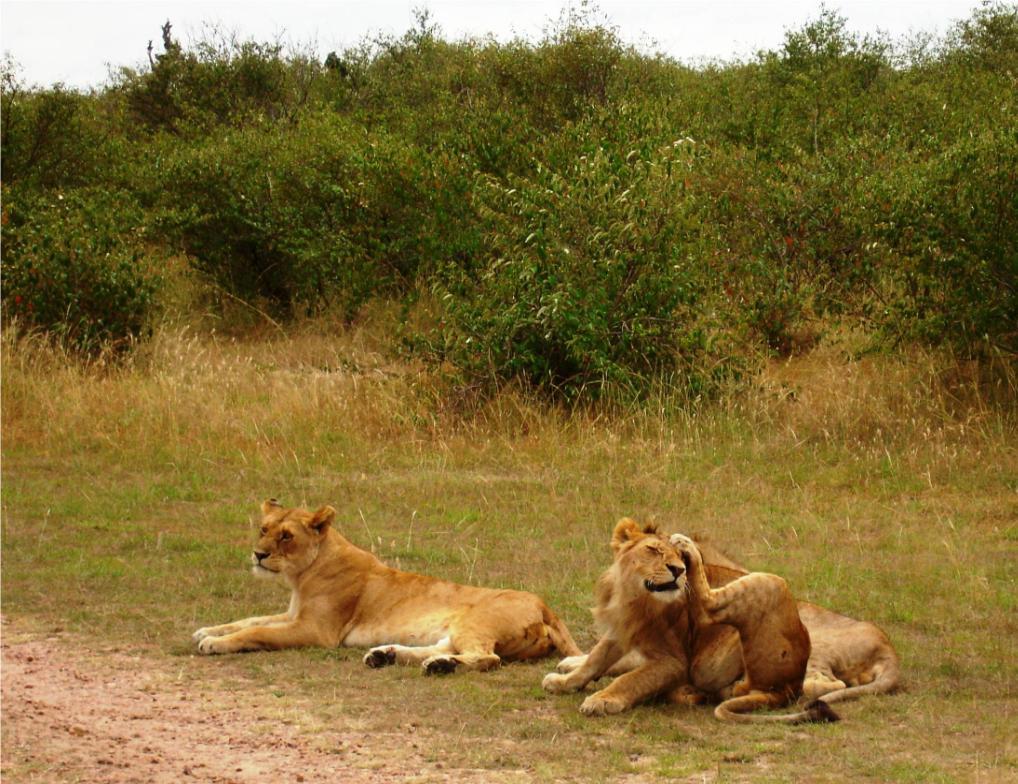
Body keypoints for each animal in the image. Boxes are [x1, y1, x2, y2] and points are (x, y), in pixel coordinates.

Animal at [193, 500, 582, 672]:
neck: (301, 576)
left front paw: (214, 643)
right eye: (264, 529)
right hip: (457, 628)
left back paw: (440, 666)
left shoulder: (316, 630)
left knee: (487, 657)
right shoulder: (292, 615)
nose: (258, 555)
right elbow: (250, 620)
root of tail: (546, 606)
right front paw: (206, 630)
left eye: (286, 536)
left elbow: (257, 631)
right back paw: (386, 655)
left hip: (476, 621)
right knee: (445, 648)